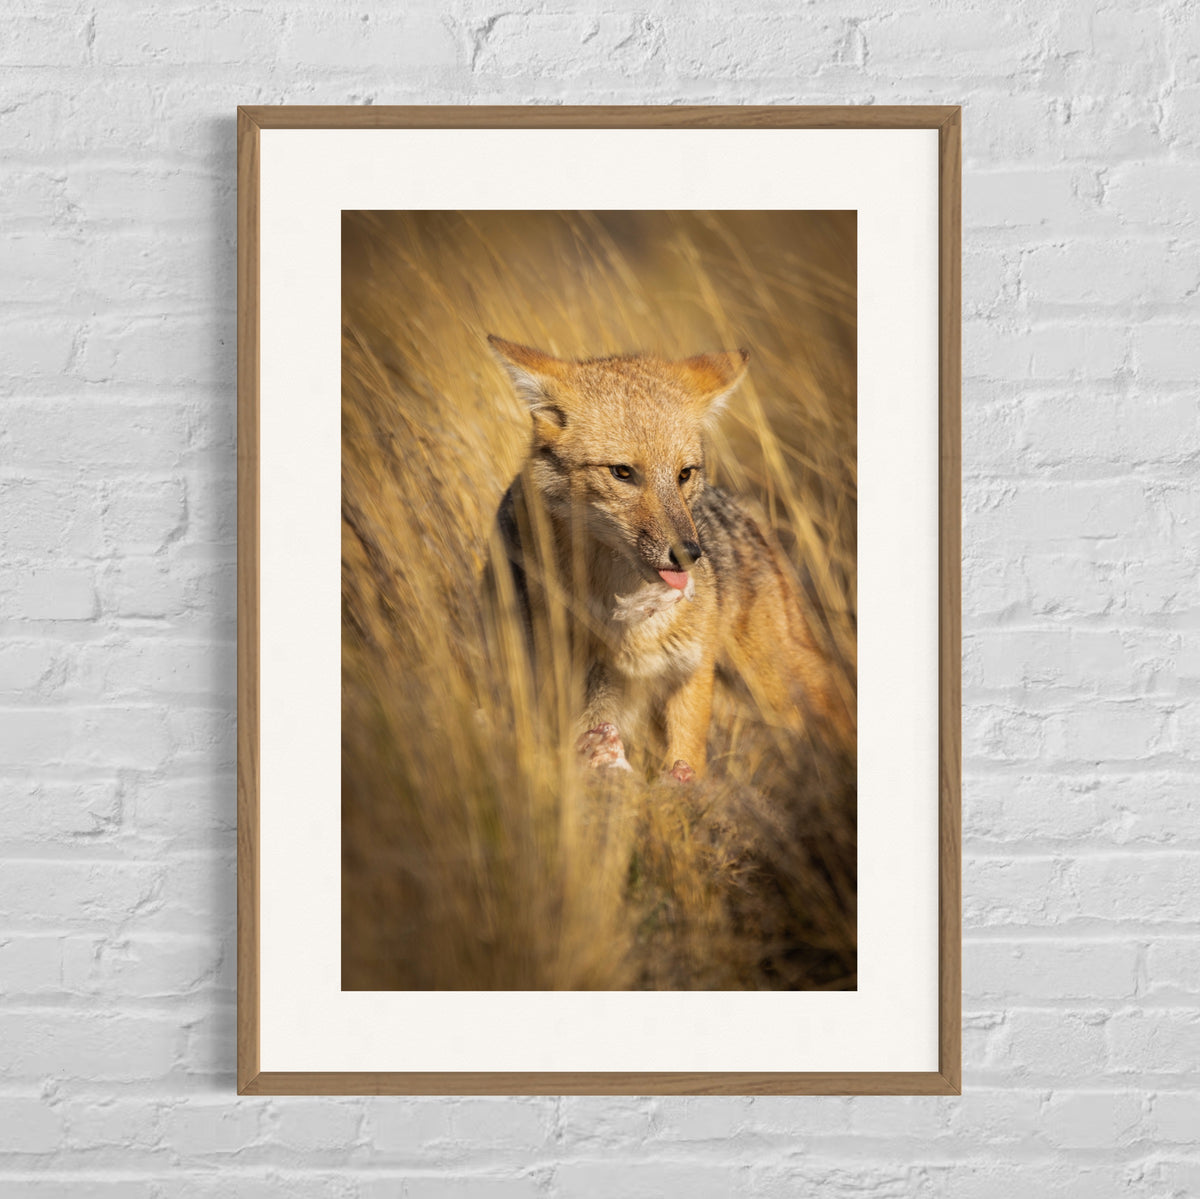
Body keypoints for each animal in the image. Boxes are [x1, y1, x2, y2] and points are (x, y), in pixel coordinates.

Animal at [483, 334, 852, 782]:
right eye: (622, 473)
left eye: (684, 474)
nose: (690, 554)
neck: (625, 612)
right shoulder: (580, 695)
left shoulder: (689, 677)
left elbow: (687, 763)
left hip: (778, 687)